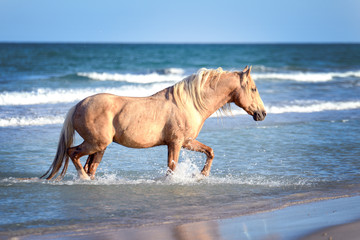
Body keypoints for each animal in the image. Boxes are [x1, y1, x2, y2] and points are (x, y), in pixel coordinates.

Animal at [42, 65, 266, 180]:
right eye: (254, 89)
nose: (262, 113)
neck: (190, 103)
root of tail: (78, 105)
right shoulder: (176, 143)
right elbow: (172, 169)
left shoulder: (186, 142)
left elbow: (210, 152)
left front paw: (201, 175)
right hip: (96, 144)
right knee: (72, 153)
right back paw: (83, 178)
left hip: (100, 147)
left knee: (90, 166)